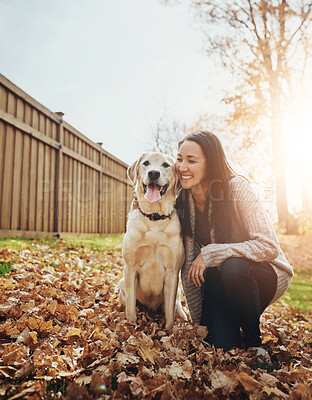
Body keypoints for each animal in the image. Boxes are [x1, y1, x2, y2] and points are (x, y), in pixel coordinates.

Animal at [119, 152, 185, 330]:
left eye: (166, 165)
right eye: (146, 163)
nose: (154, 173)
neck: (154, 217)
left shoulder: (172, 272)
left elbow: (169, 313)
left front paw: (169, 330)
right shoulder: (130, 267)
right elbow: (130, 308)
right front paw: (131, 326)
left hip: (178, 296)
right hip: (121, 283)